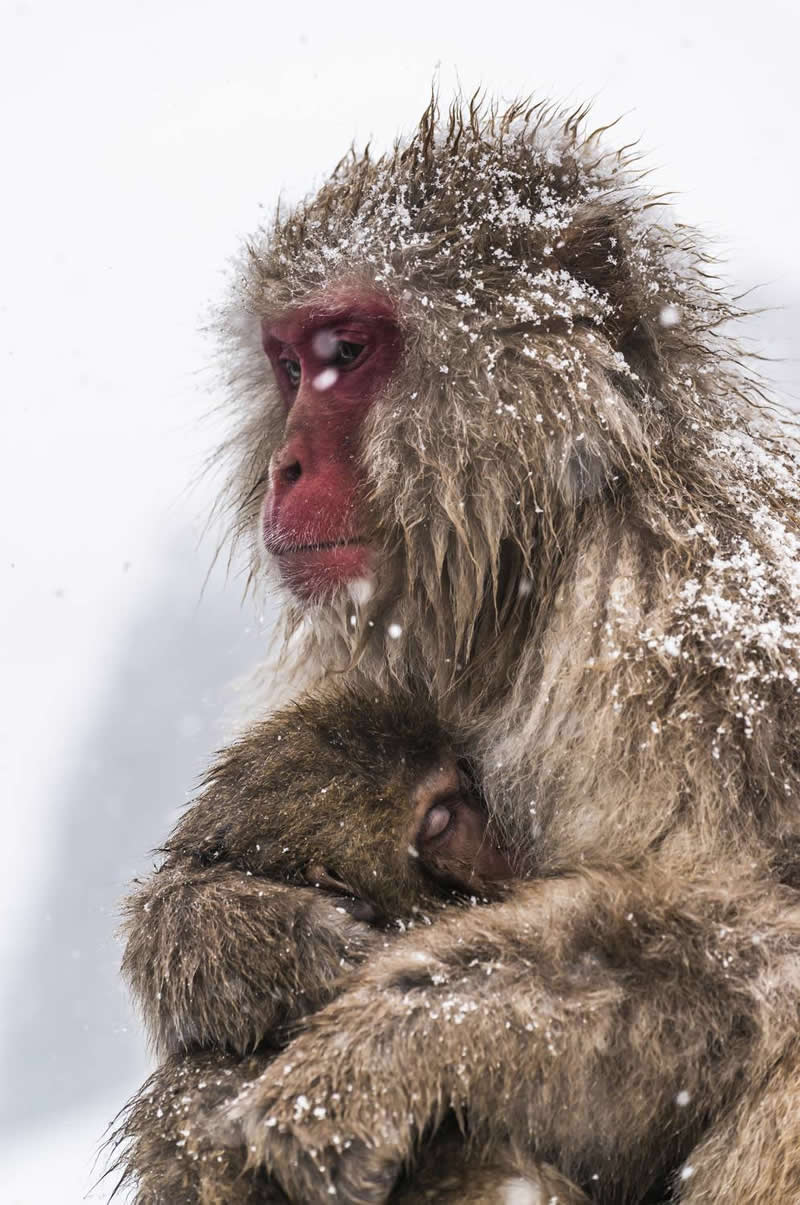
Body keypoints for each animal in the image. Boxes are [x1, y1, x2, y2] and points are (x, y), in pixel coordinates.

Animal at [119, 94, 800, 1204]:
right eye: (287, 360)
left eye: (347, 351)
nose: (284, 465)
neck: (539, 559)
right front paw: (218, 933)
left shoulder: (691, 650)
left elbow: (762, 946)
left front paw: (401, 1040)